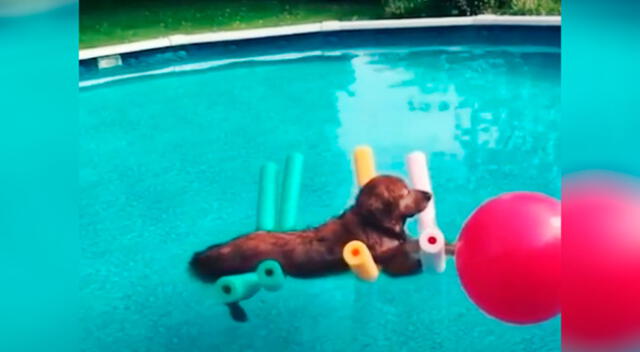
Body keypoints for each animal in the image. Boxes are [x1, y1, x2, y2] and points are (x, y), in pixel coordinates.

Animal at [190, 175, 450, 322]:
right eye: (405, 192)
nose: (429, 194)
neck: (373, 223)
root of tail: (216, 251)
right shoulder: (388, 262)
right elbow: (406, 260)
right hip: (246, 281)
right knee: (228, 297)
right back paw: (239, 314)